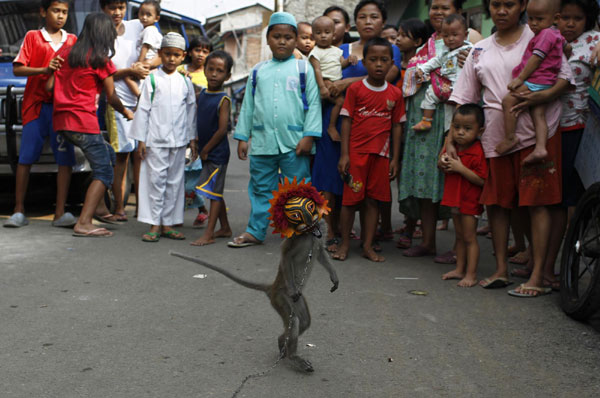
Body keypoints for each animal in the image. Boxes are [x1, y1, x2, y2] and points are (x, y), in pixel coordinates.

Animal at [170, 178, 338, 374]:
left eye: (310, 207)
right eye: (295, 214)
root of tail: (272, 287)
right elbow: (286, 255)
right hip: (281, 298)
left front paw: (334, 276)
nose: (308, 219)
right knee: (296, 320)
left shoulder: (321, 228)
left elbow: (320, 253)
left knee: (303, 321)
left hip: (288, 299)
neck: (310, 232)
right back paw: (291, 354)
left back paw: (283, 342)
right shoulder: (295, 238)